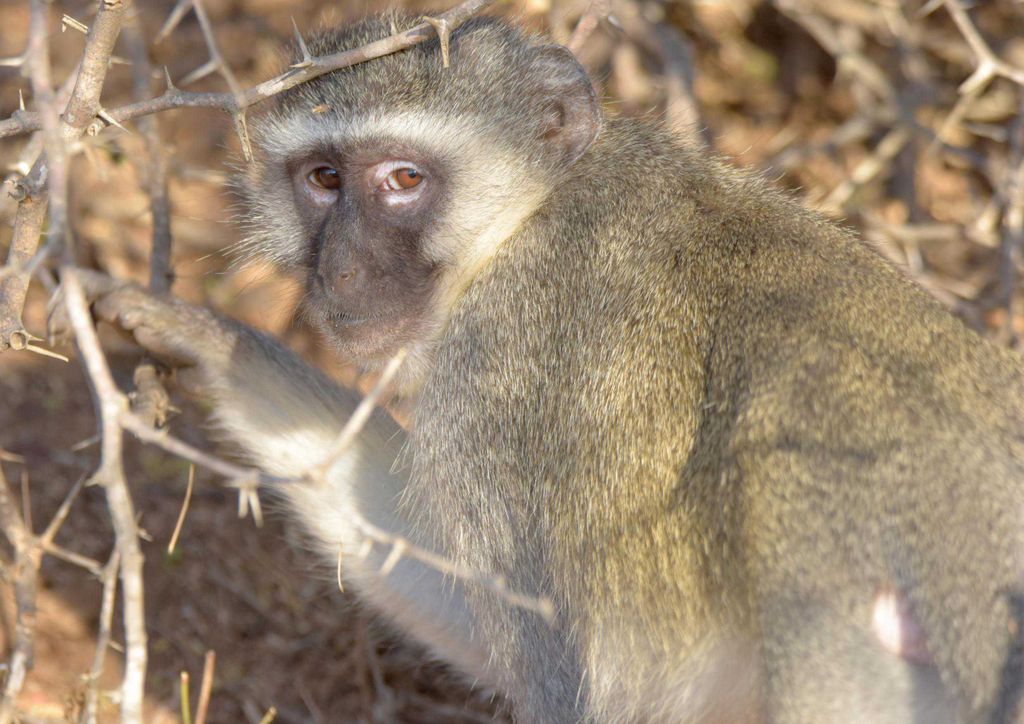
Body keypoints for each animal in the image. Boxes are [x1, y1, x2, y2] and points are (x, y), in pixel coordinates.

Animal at [49, 12, 1024, 724]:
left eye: (404, 179)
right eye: (323, 179)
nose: (344, 270)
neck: (524, 218)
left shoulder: (503, 376)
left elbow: (563, 674)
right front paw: (208, 339)